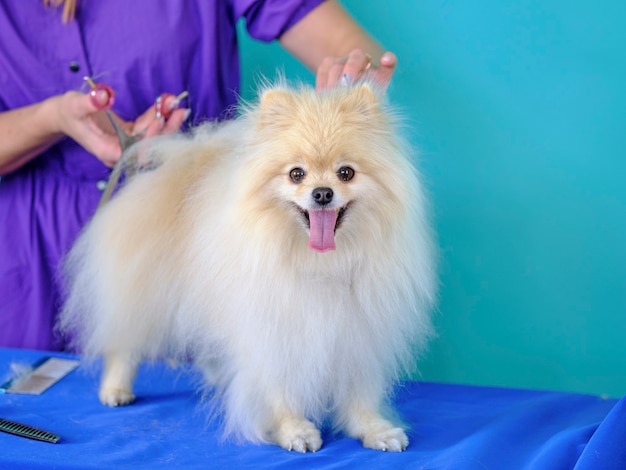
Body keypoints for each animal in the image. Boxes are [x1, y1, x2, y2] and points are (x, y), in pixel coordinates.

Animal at [61, 81, 436, 452]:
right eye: (296, 174)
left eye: (346, 173)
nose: (322, 193)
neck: (320, 261)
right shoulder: (272, 328)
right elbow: (279, 387)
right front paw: (294, 430)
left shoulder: (357, 330)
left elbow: (359, 391)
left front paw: (375, 429)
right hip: (143, 295)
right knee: (125, 345)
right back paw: (116, 389)